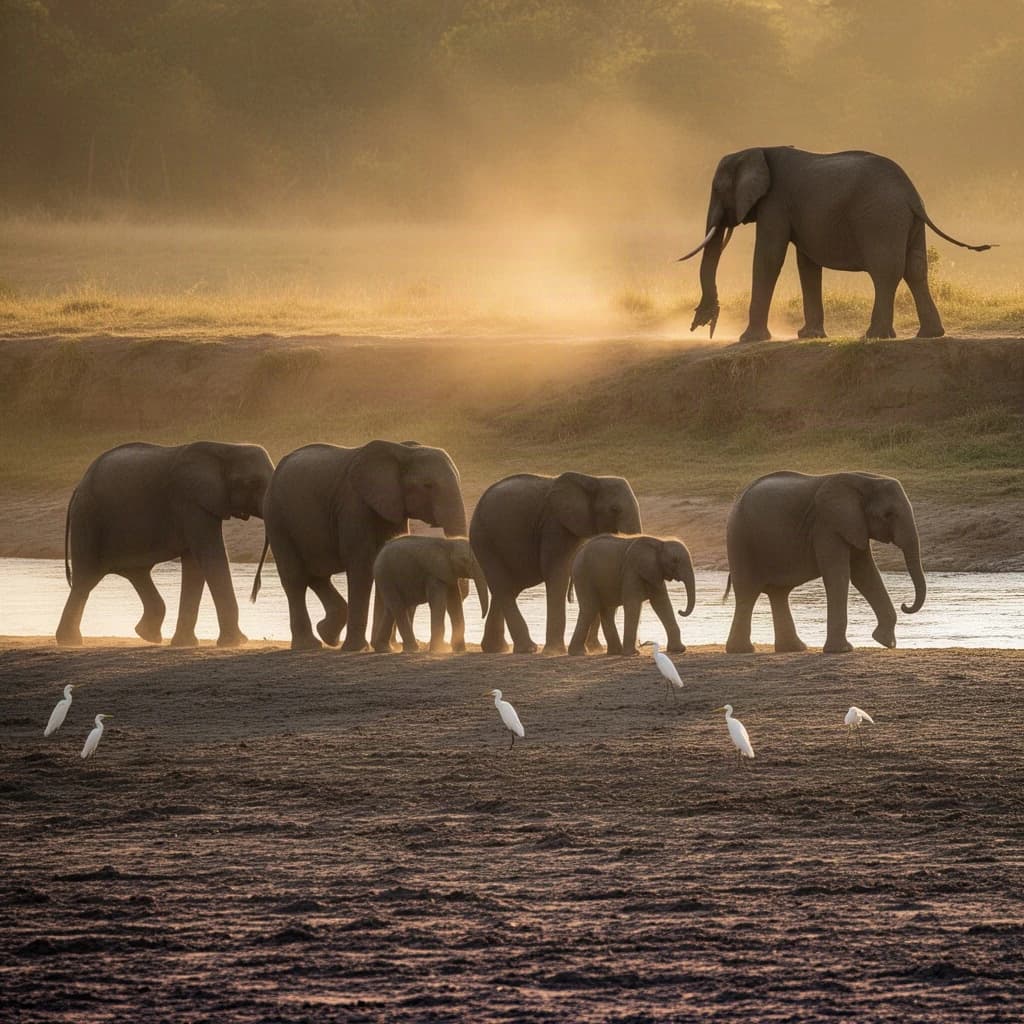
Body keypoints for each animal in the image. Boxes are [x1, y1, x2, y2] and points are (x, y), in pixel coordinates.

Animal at [56, 441, 274, 647]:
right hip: (89, 518)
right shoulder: (192, 502)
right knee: (86, 578)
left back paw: (147, 634)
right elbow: (210, 556)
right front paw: (237, 642)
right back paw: (70, 641)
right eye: (252, 482)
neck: (226, 448)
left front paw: (185, 644)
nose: (254, 594)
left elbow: (195, 564)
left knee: (135, 573)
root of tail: (78, 487)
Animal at [254, 439, 467, 651]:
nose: (461, 591)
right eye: (428, 485)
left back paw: (328, 635)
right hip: (276, 518)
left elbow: (381, 561)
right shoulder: (353, 506)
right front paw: (358, 648)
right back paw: (309, 644)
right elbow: (362, 565)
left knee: (316, 575)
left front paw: (385, 648)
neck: (403, 450)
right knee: (295, 578)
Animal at [470, 472, 642, 654]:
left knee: (509, 588)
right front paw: (556, 650)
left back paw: (496, 648)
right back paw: (528, 648)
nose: (638, 646)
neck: (593, 479)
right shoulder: (554, 524)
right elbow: (557, 572)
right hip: (484, 539)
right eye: (614, 509)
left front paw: (594, 649)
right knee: (504, 587)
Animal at [680, 147, 994, 342]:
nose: (703, 322)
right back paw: (929, 335)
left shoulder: (775, 203)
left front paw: (748, 340)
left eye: (718, 189)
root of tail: (911, 194)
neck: (756, 150)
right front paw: (809, 336)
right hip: (908, 223)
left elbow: (769, 257)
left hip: (880, 218)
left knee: (885, 271)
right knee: (915, 270)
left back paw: (874, 336)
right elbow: (806, 263)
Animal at [724, 471, 926, 654]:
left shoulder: (853, 526)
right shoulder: (827, 526)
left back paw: (794, 648)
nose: (905, 605)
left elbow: (865, 574)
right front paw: (842, 650)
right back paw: (742, 650)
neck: (865, 480)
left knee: (778, 594)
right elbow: (839, 575)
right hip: (740, 541)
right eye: (888, 514)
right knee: (747, 593)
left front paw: (885, 641)